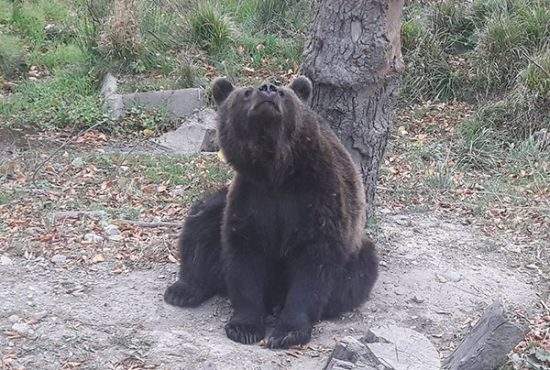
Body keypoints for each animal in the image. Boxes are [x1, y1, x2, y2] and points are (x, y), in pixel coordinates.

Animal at [164, 76, 380, 350]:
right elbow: (245, 256)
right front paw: (243, 326)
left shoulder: (317, 196)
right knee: (201, 222)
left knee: (355, 277)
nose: (267, 89)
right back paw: (183, 290)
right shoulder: (253, 199)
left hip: (357, 252)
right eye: (246, 92)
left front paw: (287, 332)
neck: (277, 170)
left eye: (283, 92)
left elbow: (314, 262)